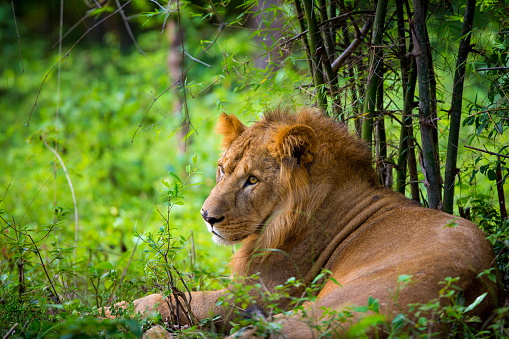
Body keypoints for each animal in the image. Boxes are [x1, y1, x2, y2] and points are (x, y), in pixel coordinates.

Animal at [108, 108, 504, 338]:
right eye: (222, 170)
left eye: (252, 180)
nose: (207, 217)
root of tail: (465, 296)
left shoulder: (262, 294)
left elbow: (173, 300)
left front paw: (110, 311)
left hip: (335, 305)